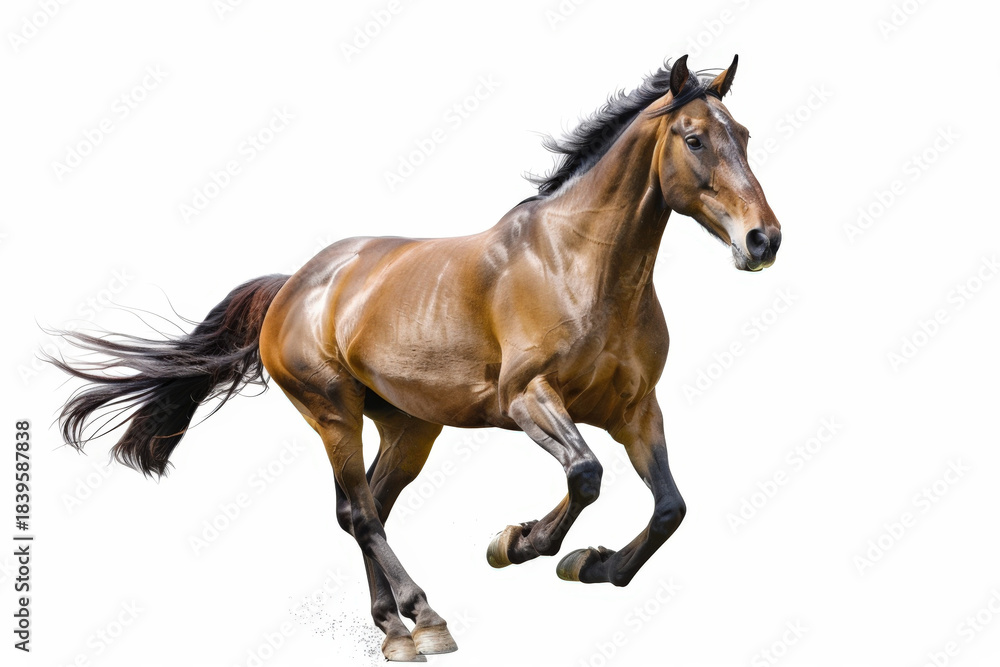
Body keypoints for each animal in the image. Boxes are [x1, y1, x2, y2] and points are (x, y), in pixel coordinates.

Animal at [51, 54, 781, 662]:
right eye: (693, 138)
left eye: (744, 135)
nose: (763, 240)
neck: (578, 266)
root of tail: (295, 284)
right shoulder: (529, 399)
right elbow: (586, 475)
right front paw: (517, 543)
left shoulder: (635, 410)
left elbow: (669, 508)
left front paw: (590, 563)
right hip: (333, 412)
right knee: (359, 512)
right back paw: (423, 620)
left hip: (409, 427)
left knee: (367, 507)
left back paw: (395, 625)